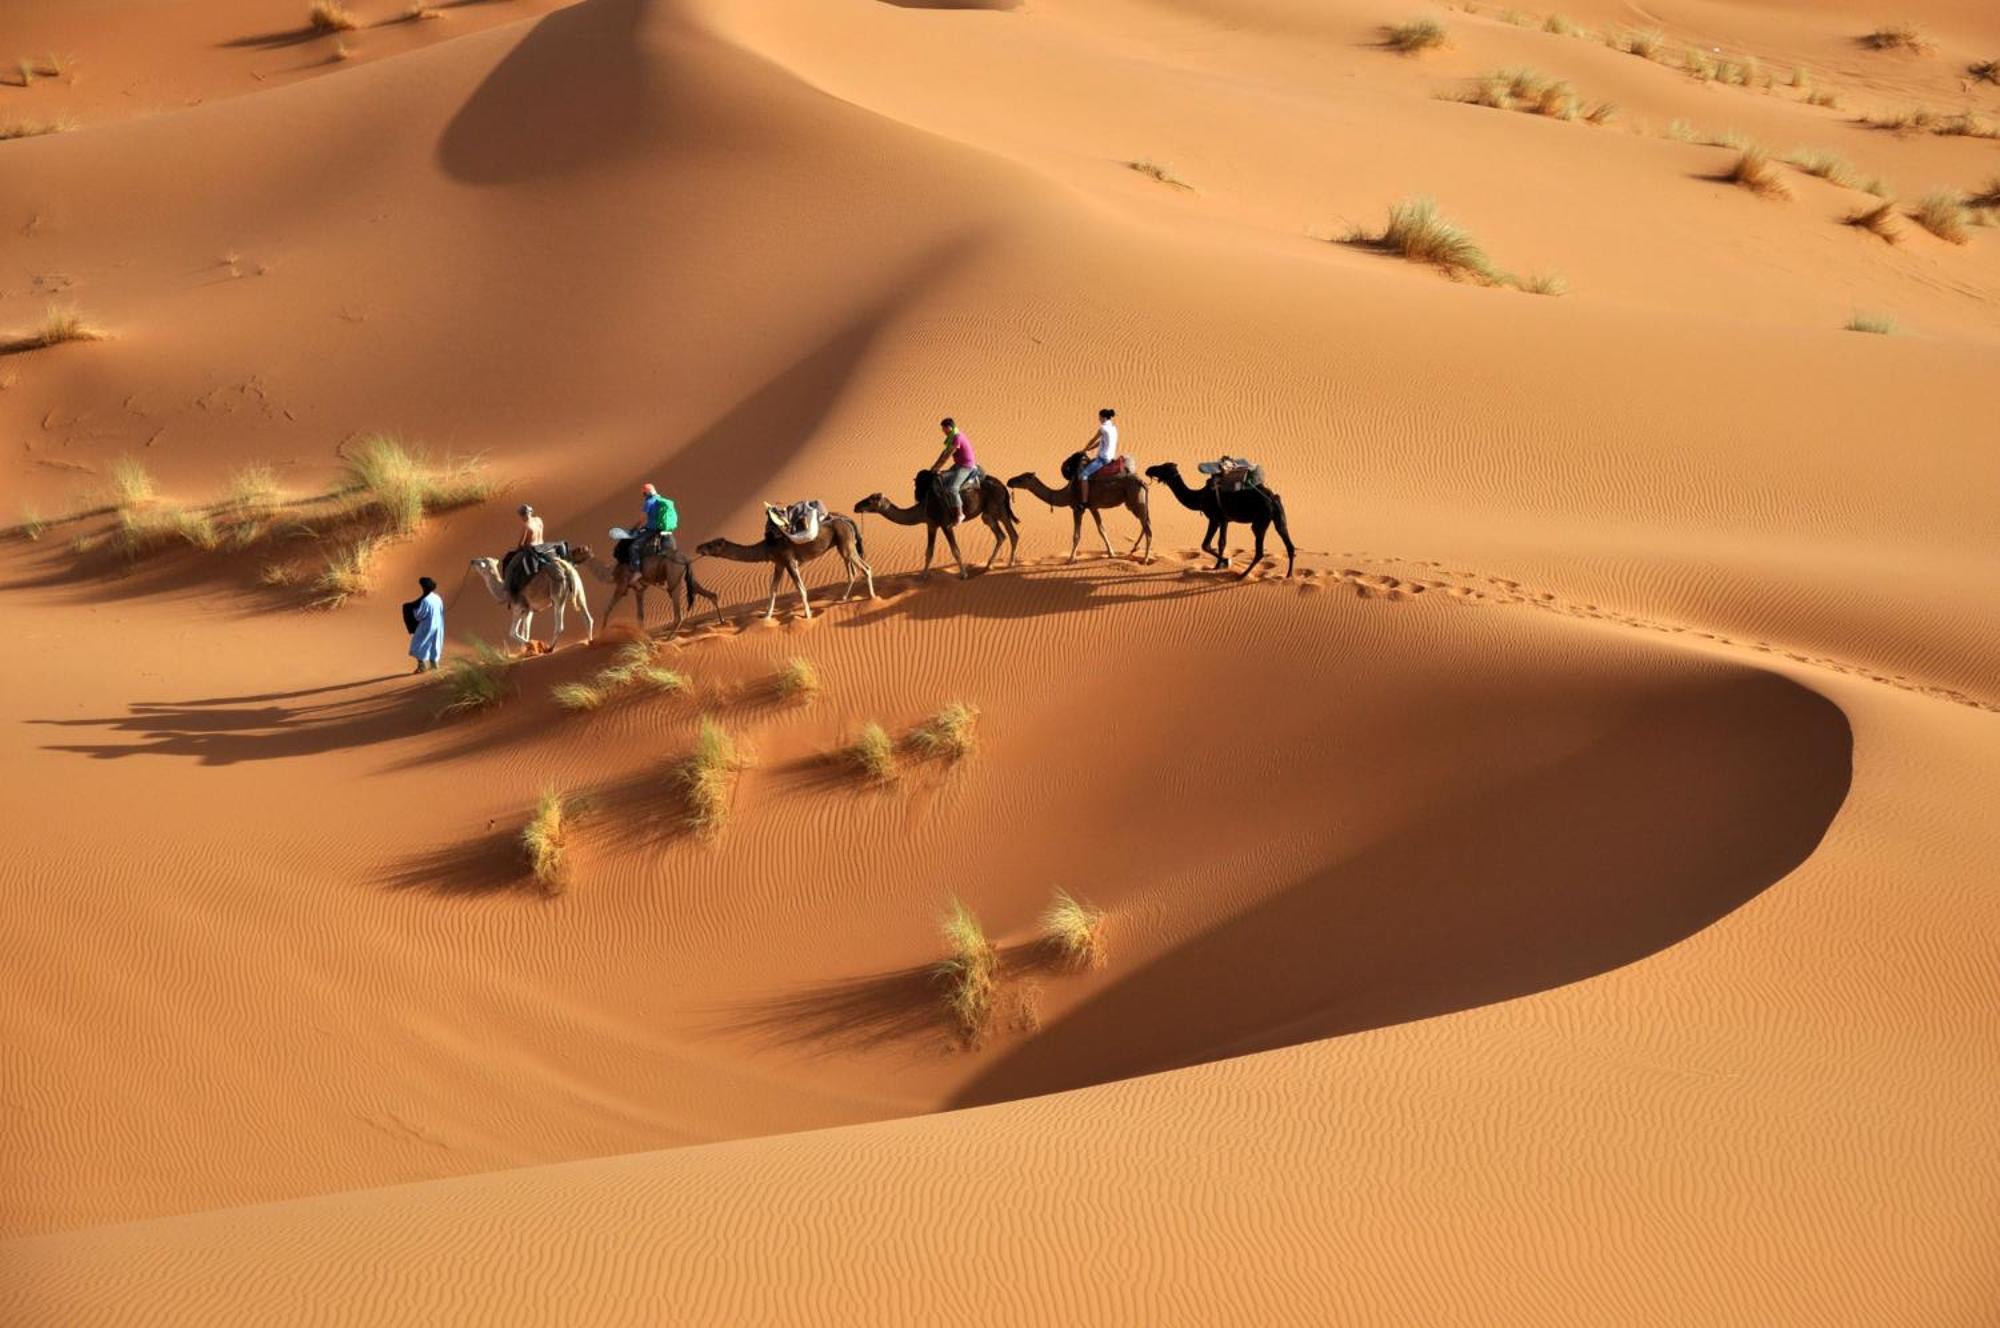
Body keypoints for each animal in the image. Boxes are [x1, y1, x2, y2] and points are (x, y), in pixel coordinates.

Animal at [696, 510, 876, 620]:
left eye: (712, 545)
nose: (698, 547)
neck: (767, 546)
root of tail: (848, 521)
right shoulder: (779, 564)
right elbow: (773, 590)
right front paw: (767, 616)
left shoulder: (789, 561)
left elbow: (801, 589)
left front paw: (807, 616)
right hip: (843, 546)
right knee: (852, 571)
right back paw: (844, 597)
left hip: (846, 545)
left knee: (866, 568)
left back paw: (872, 598)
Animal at [856, 470, 1024, 580]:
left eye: (871, 500)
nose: (856, 506)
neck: (924, 507)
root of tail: (1003, 486)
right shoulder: (931, 525)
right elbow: (929, 552)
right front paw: (923, 575)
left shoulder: (945, 524)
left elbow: (955, 550)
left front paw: (963, 574)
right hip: (988, 513)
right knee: (1001, 535)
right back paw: (989, 565)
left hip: (999, 507)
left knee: (1012, 534)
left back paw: (1010, 563)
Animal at [1000, 456, 1160, 560]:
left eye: (1021, 479)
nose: (1009, 481)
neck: (1067, 492)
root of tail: (1142, 482)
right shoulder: (1093, 507)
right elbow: (1102, 529)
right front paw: (1111, 553)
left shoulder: (1078, 508)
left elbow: (1076, 535)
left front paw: (1071, 559)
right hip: (1137, 503)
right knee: (1145, 523)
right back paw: (1135, 549)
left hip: (1134, 501)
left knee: (1148, 528)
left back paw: (1145, 559)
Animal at [1152, 460, 1304, 580]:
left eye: (1162, 467)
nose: (1149, 469)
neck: (1200, 497)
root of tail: (1273, 499)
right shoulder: (1224, 520)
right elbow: (1222, 543)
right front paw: (1217, 567)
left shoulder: (1214, 518)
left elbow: (1206, 544)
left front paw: (1226, 561)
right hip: (1279, 518)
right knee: (1288, 544)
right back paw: (1289, 575)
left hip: (1260, 521)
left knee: (1260, 551)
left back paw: (1243, 575)